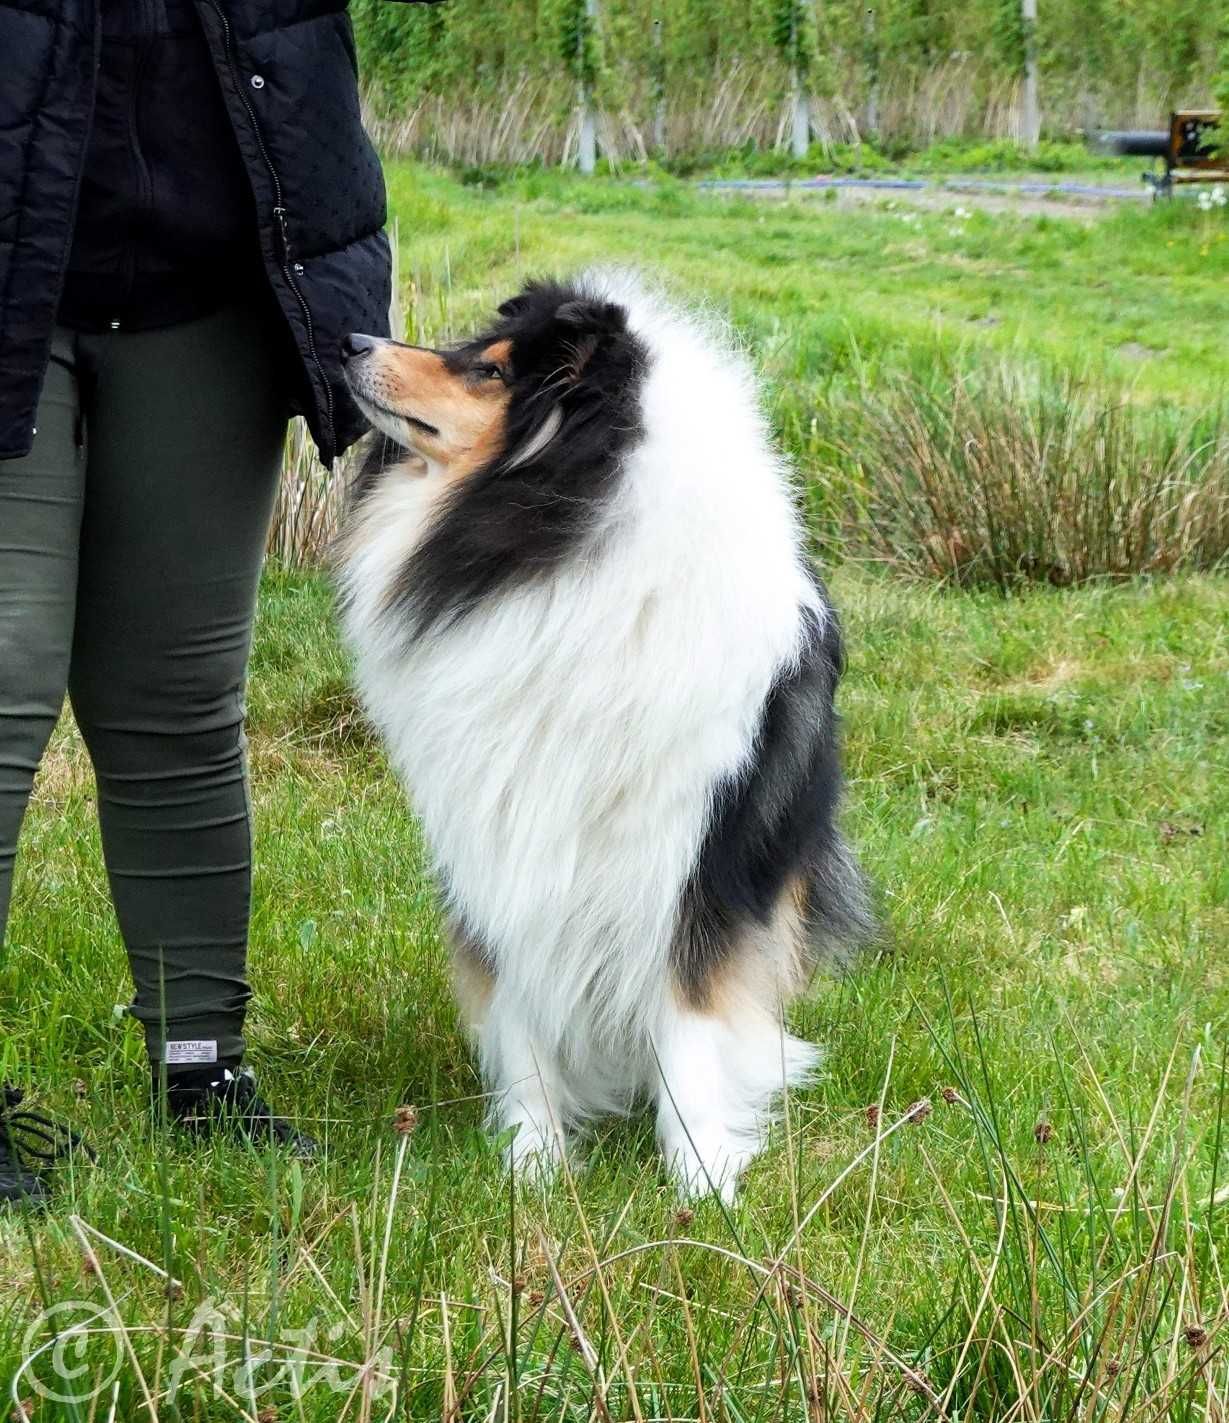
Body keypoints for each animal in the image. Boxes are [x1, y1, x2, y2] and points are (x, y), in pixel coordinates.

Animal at [338, 268, 876, 1201]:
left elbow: (689, 1019)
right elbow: (521, 1011)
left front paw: (704, 1179)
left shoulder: (691, 859)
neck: (551, 544)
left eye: (490, 372)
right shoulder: (501, 834)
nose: (350, 343)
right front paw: (533, 1162)